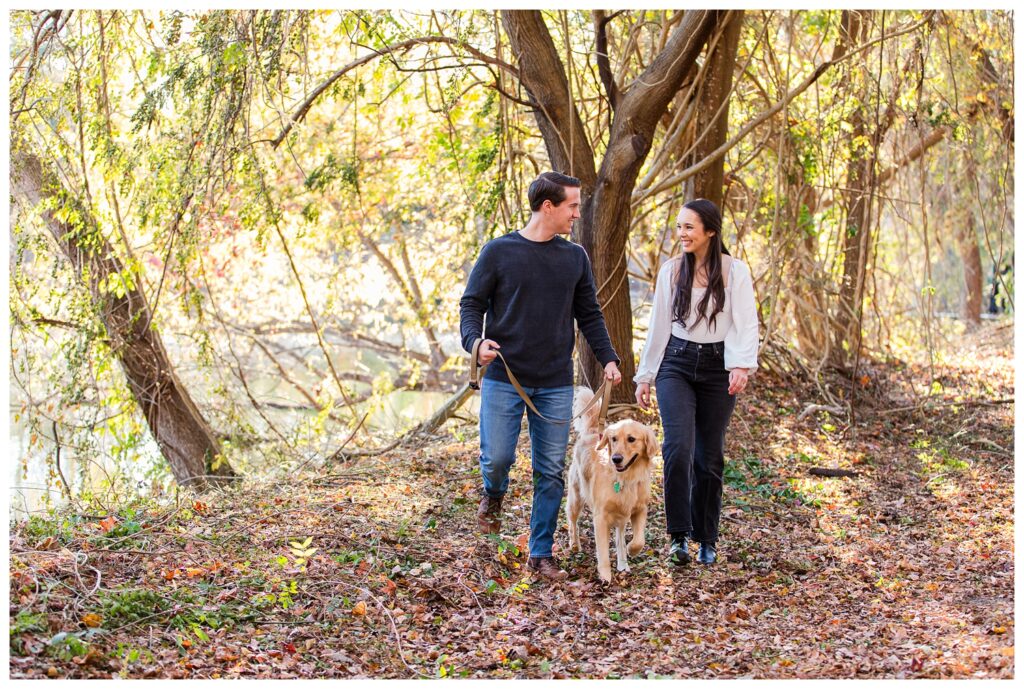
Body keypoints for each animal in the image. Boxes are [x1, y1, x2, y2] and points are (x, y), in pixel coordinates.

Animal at [565, 384, 659, 581]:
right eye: (613, 439)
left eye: (631, 439)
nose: (616, 459)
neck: (626, 478)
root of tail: (592, 431)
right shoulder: (600, 516)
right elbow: (603, 551)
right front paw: (605, 576)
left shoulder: (640, 509)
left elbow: (639, 539)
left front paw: (632, 550)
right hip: (576, 496)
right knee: (572, 520)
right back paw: (575, 544)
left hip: (621, 515)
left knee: (619, 536)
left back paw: (623, 562)